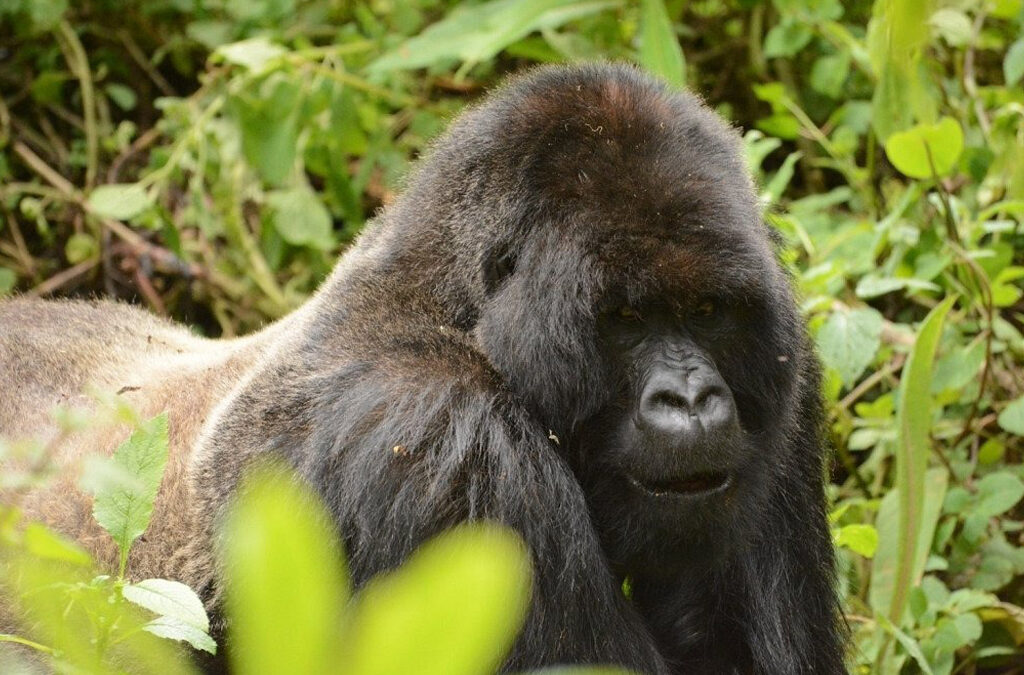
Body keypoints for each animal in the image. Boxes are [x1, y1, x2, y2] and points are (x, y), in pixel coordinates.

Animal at [0, 62, 845, 673]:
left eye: (708, 309)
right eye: (626, 320)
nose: (691, 398)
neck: (451, 310)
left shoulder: (786, 381)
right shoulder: (448, 440)